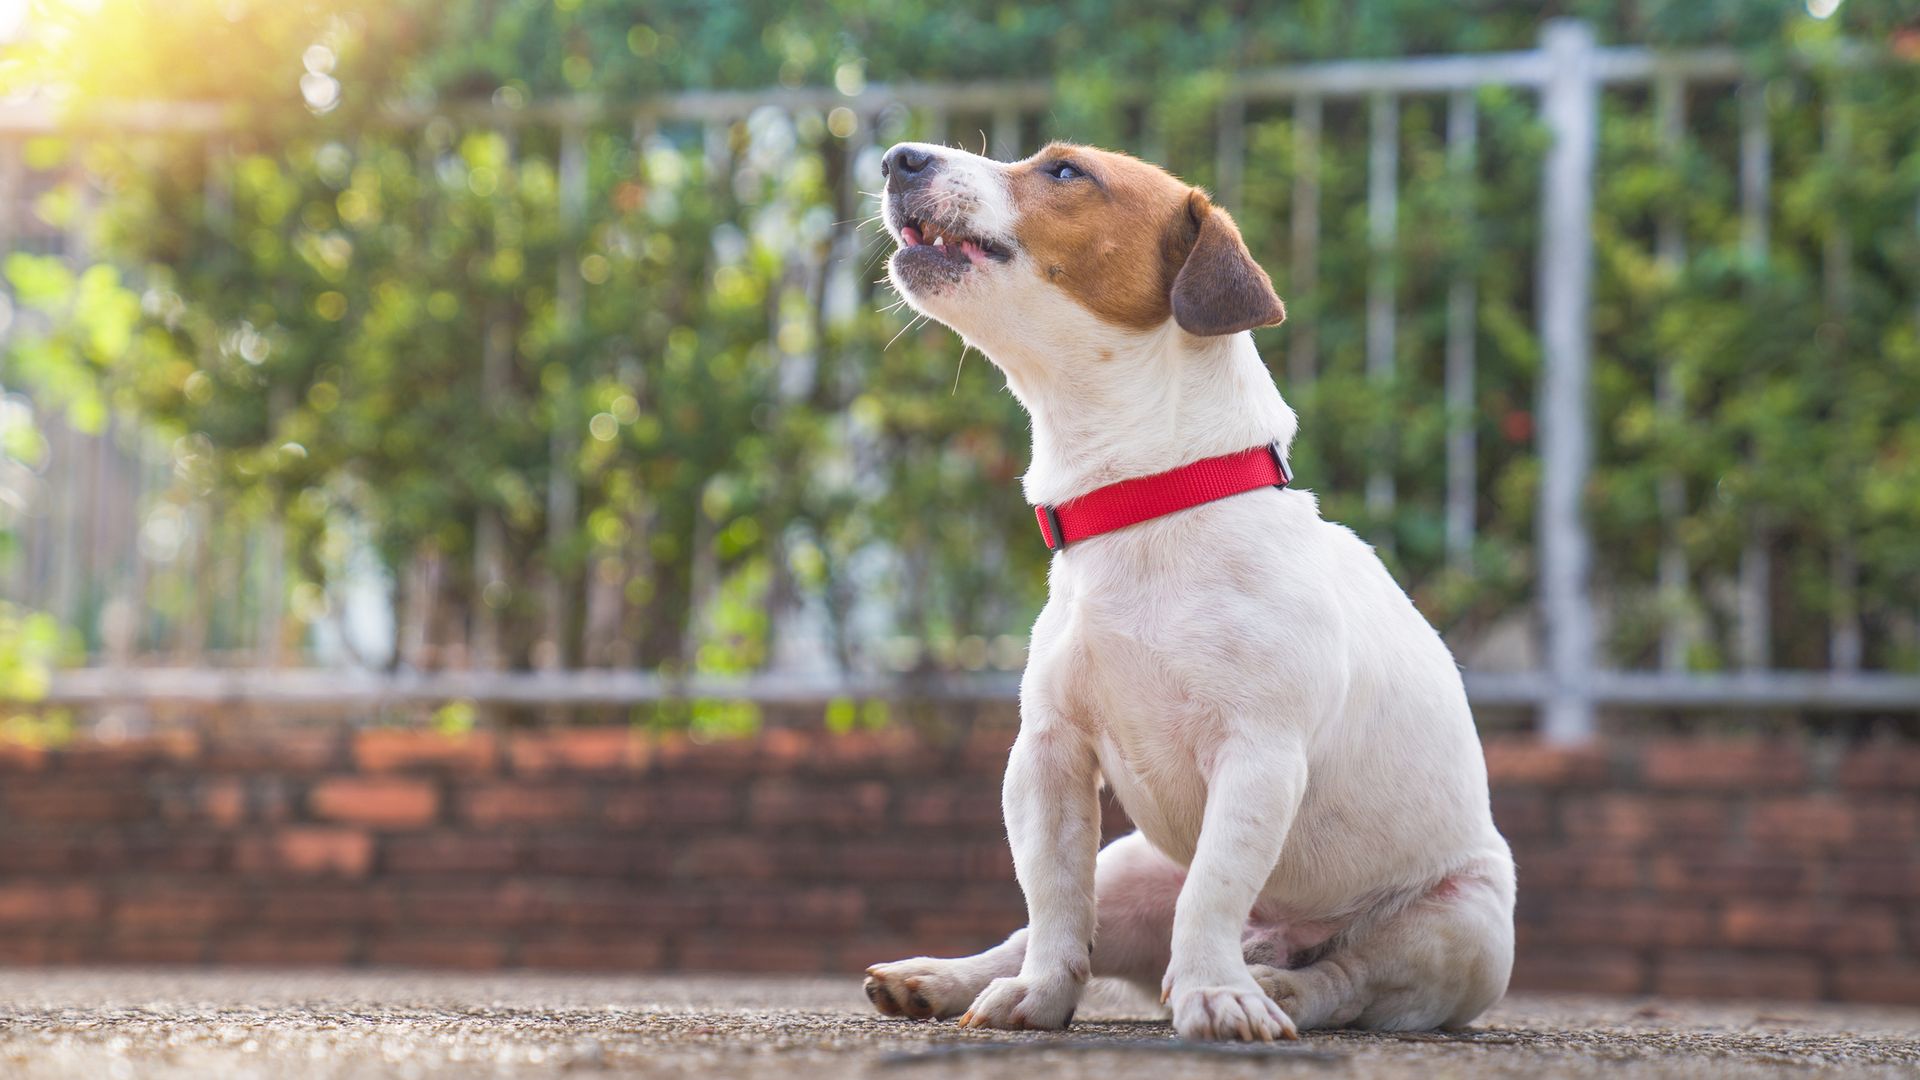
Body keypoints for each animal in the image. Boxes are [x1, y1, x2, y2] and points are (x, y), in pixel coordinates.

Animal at [860, 138, 1512, 1037]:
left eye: (1065, 172)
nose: (900, 156)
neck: (1146, 503)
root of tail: (1279, 933)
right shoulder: (1047, 752)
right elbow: (1053, 897)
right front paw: (1038, 993)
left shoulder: (1259, 756)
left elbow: (1214, 889)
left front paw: (1215, 993)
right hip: (1130, 865)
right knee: (1064, 923)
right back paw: (942, 978)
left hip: (1458, 926)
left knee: (1348, 979)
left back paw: (1273, 985)